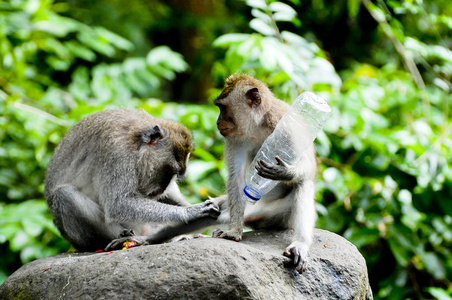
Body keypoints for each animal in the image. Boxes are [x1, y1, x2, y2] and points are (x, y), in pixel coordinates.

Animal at [43, 109, 220, 252]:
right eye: (170, 170)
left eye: (175, 175)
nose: (161, 189)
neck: (135, 141)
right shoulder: (116, 153)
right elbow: (118, 204)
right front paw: (191, 212)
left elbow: (167, 196)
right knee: (64, 195)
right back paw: (131, 238)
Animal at [212, 74, 318, 272]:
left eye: (223, 108)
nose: (217, 122)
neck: (258, 125)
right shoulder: (235, 138)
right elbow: (236, 178)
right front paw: (234, 230)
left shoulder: (289, 126)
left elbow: (309, 167)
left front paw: (285, 172)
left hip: (281, 217)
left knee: (303, 183)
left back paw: (299, 244)